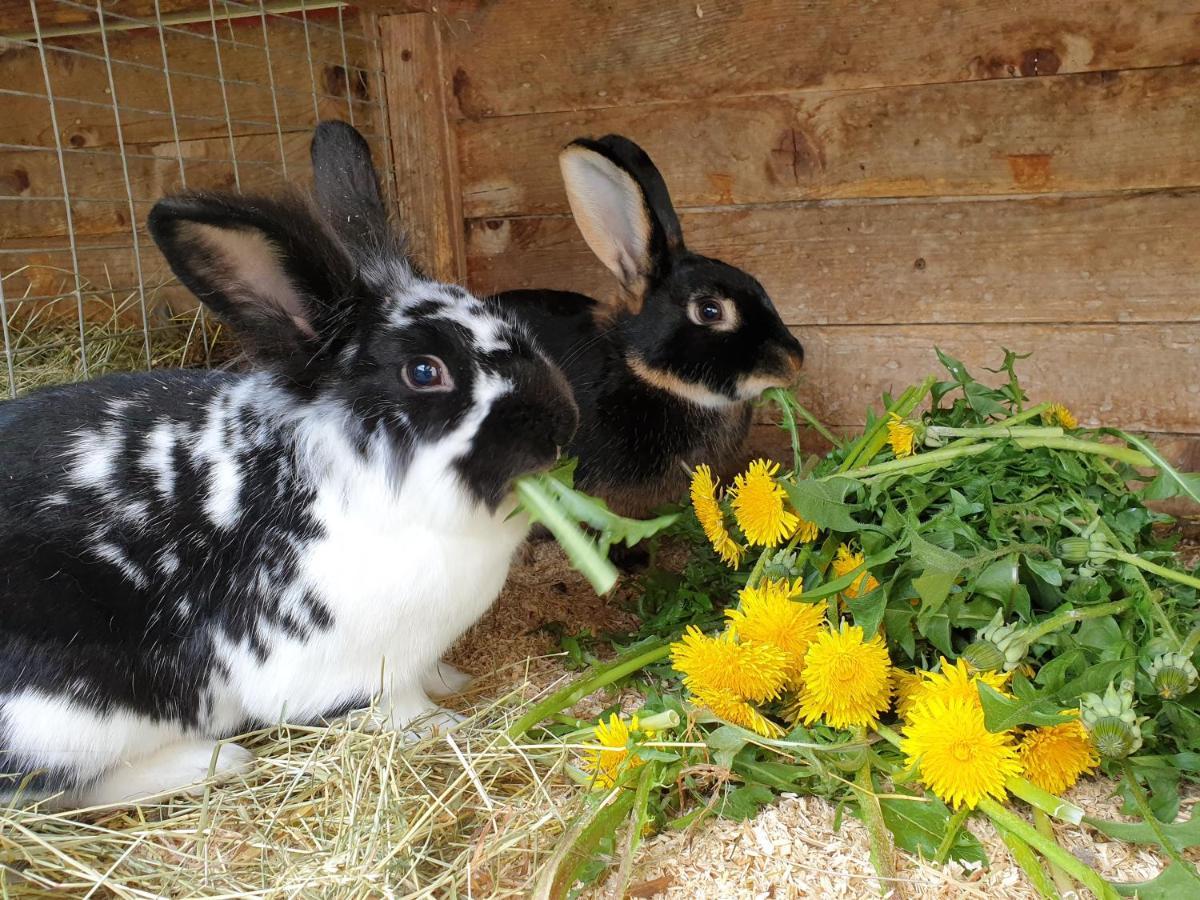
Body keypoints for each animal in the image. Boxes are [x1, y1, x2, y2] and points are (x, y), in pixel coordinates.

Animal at [0, 121, 576, 811]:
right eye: (424, 372)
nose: (562, 428)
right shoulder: (345, 665)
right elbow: (397, 708)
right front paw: (445, 726)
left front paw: (454, 679)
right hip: (67, 713)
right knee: (63, 789)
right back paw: (215, 761)